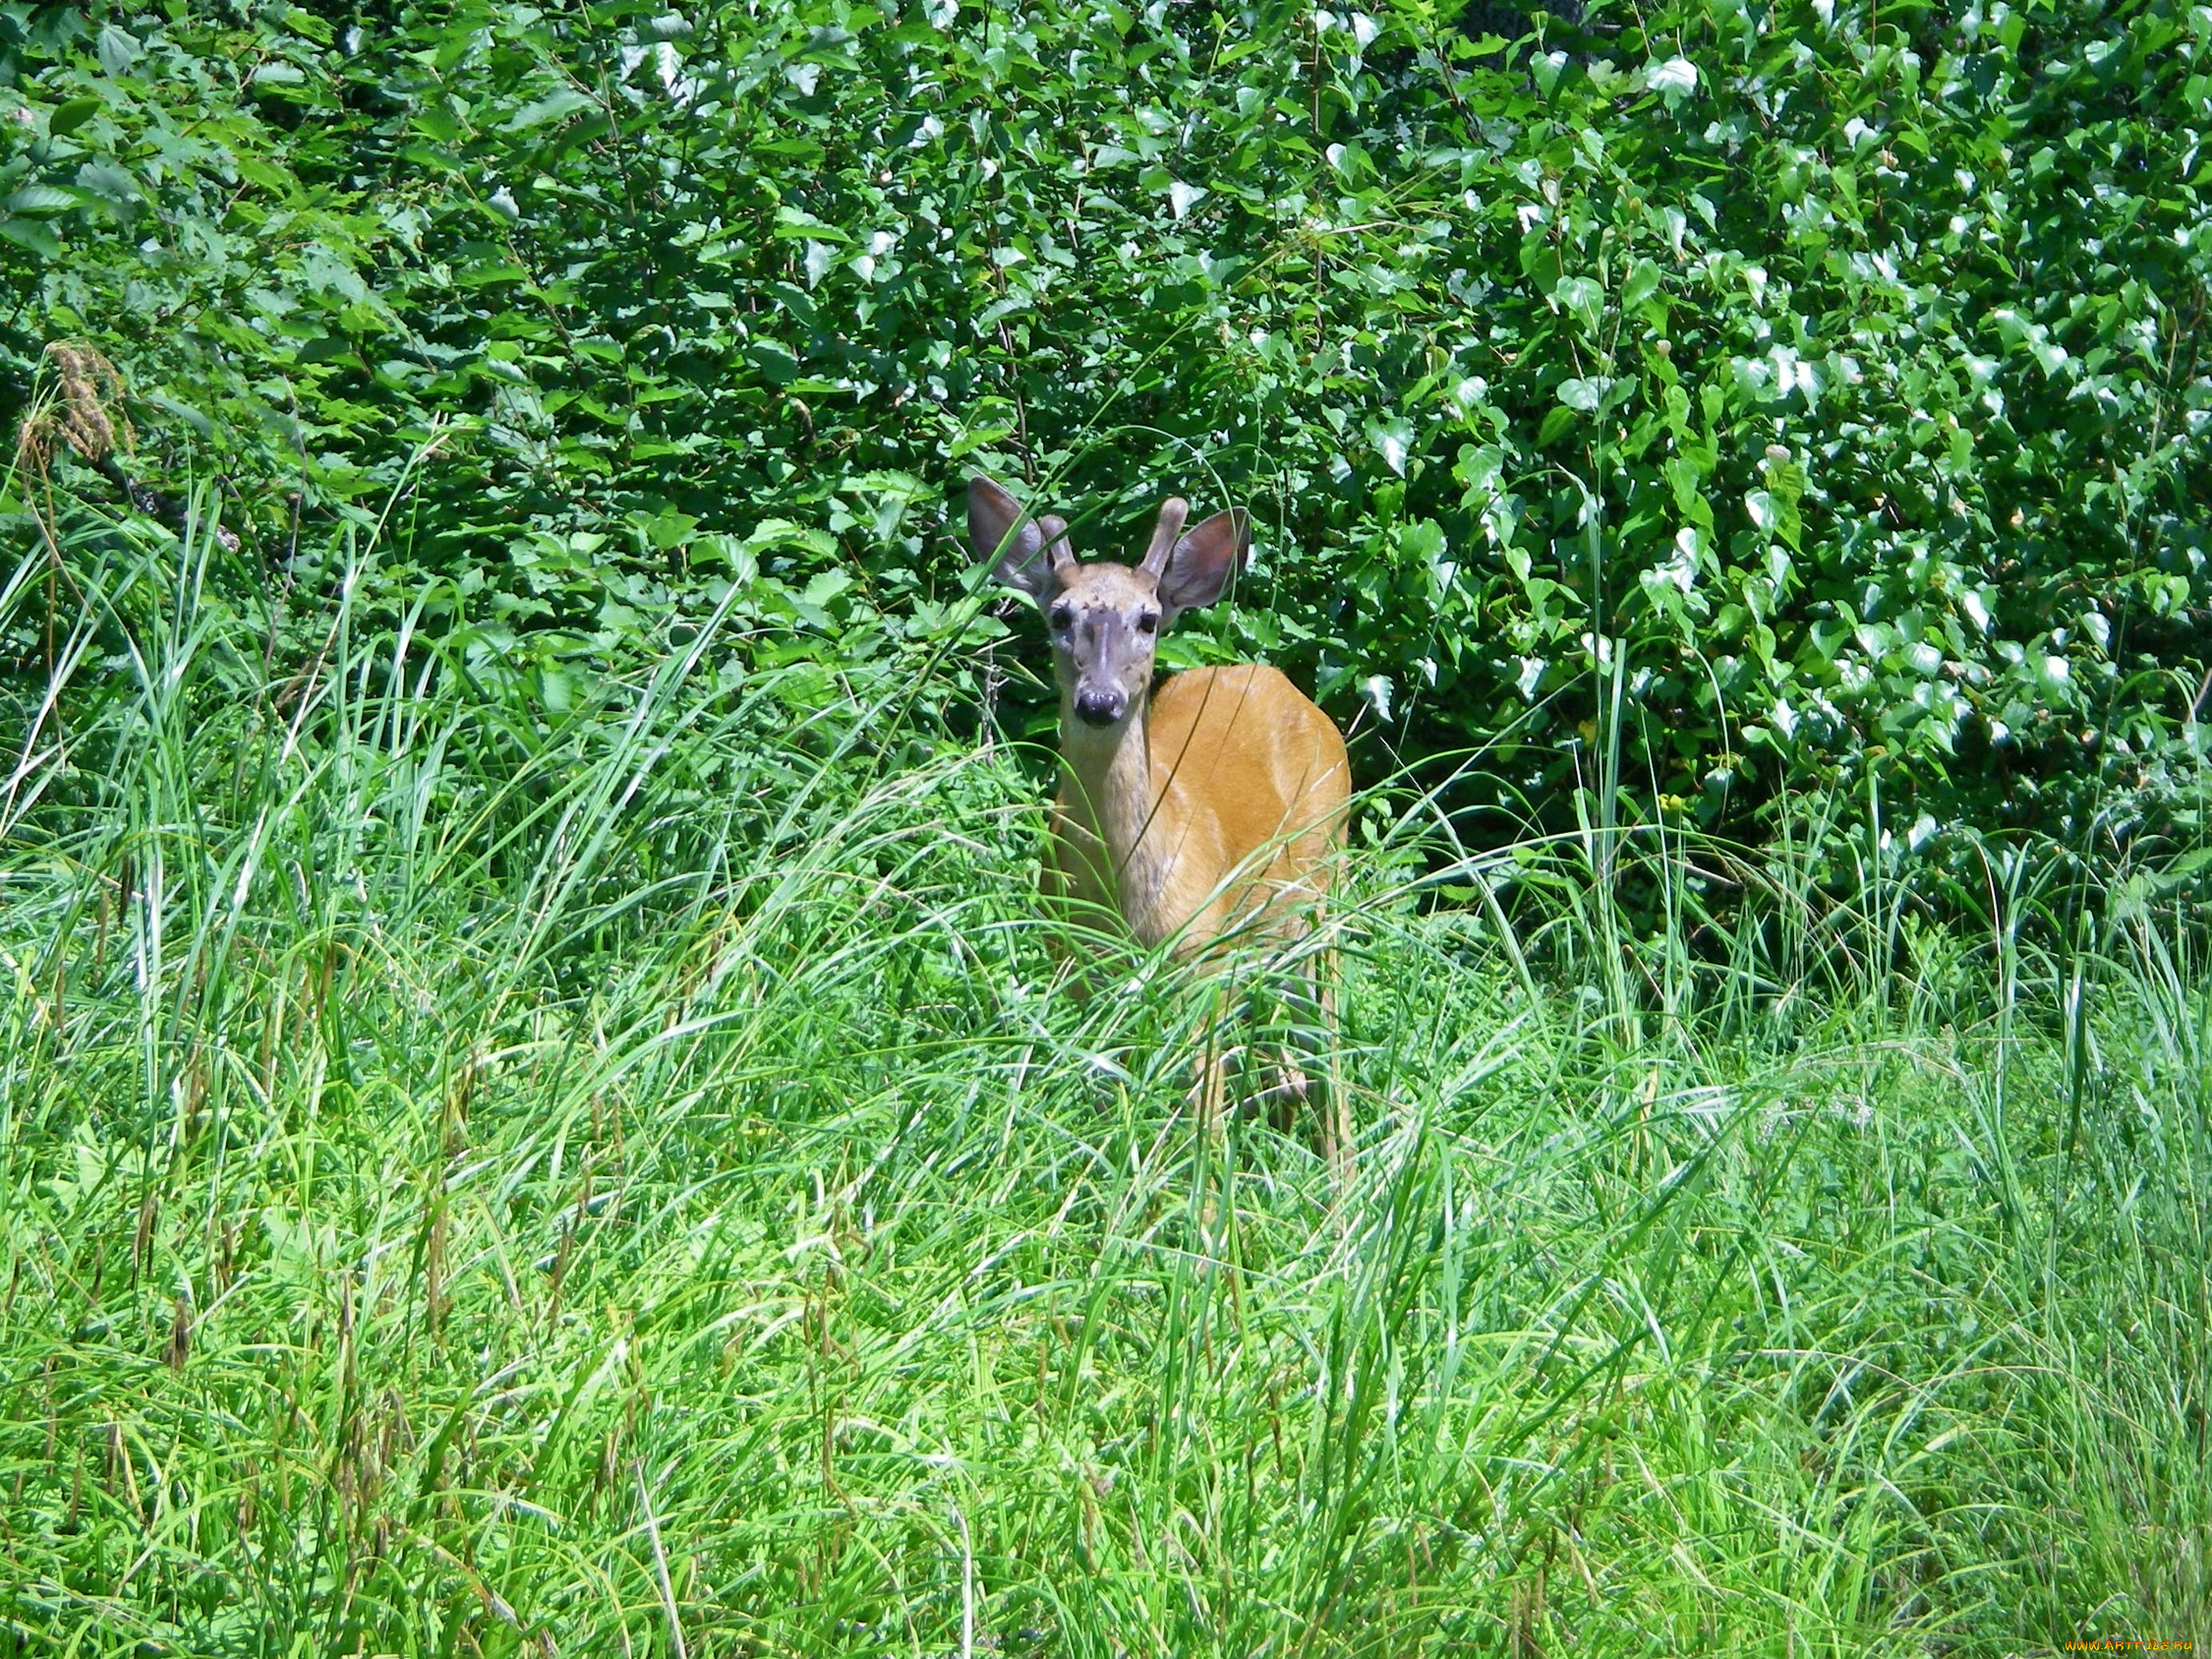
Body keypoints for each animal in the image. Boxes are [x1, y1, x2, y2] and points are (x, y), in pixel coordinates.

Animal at [977, 473, 1354, 1185]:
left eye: (1148, 618)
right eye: (1059, 615)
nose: (1100, 702)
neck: (1122, 900)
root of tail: (1280, 679)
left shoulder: (1198, 962)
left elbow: (1203, 1120)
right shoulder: (1075, 971)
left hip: (1327, 887)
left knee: (1328, 1044)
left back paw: (1342, 1183)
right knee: (1289, 1062)